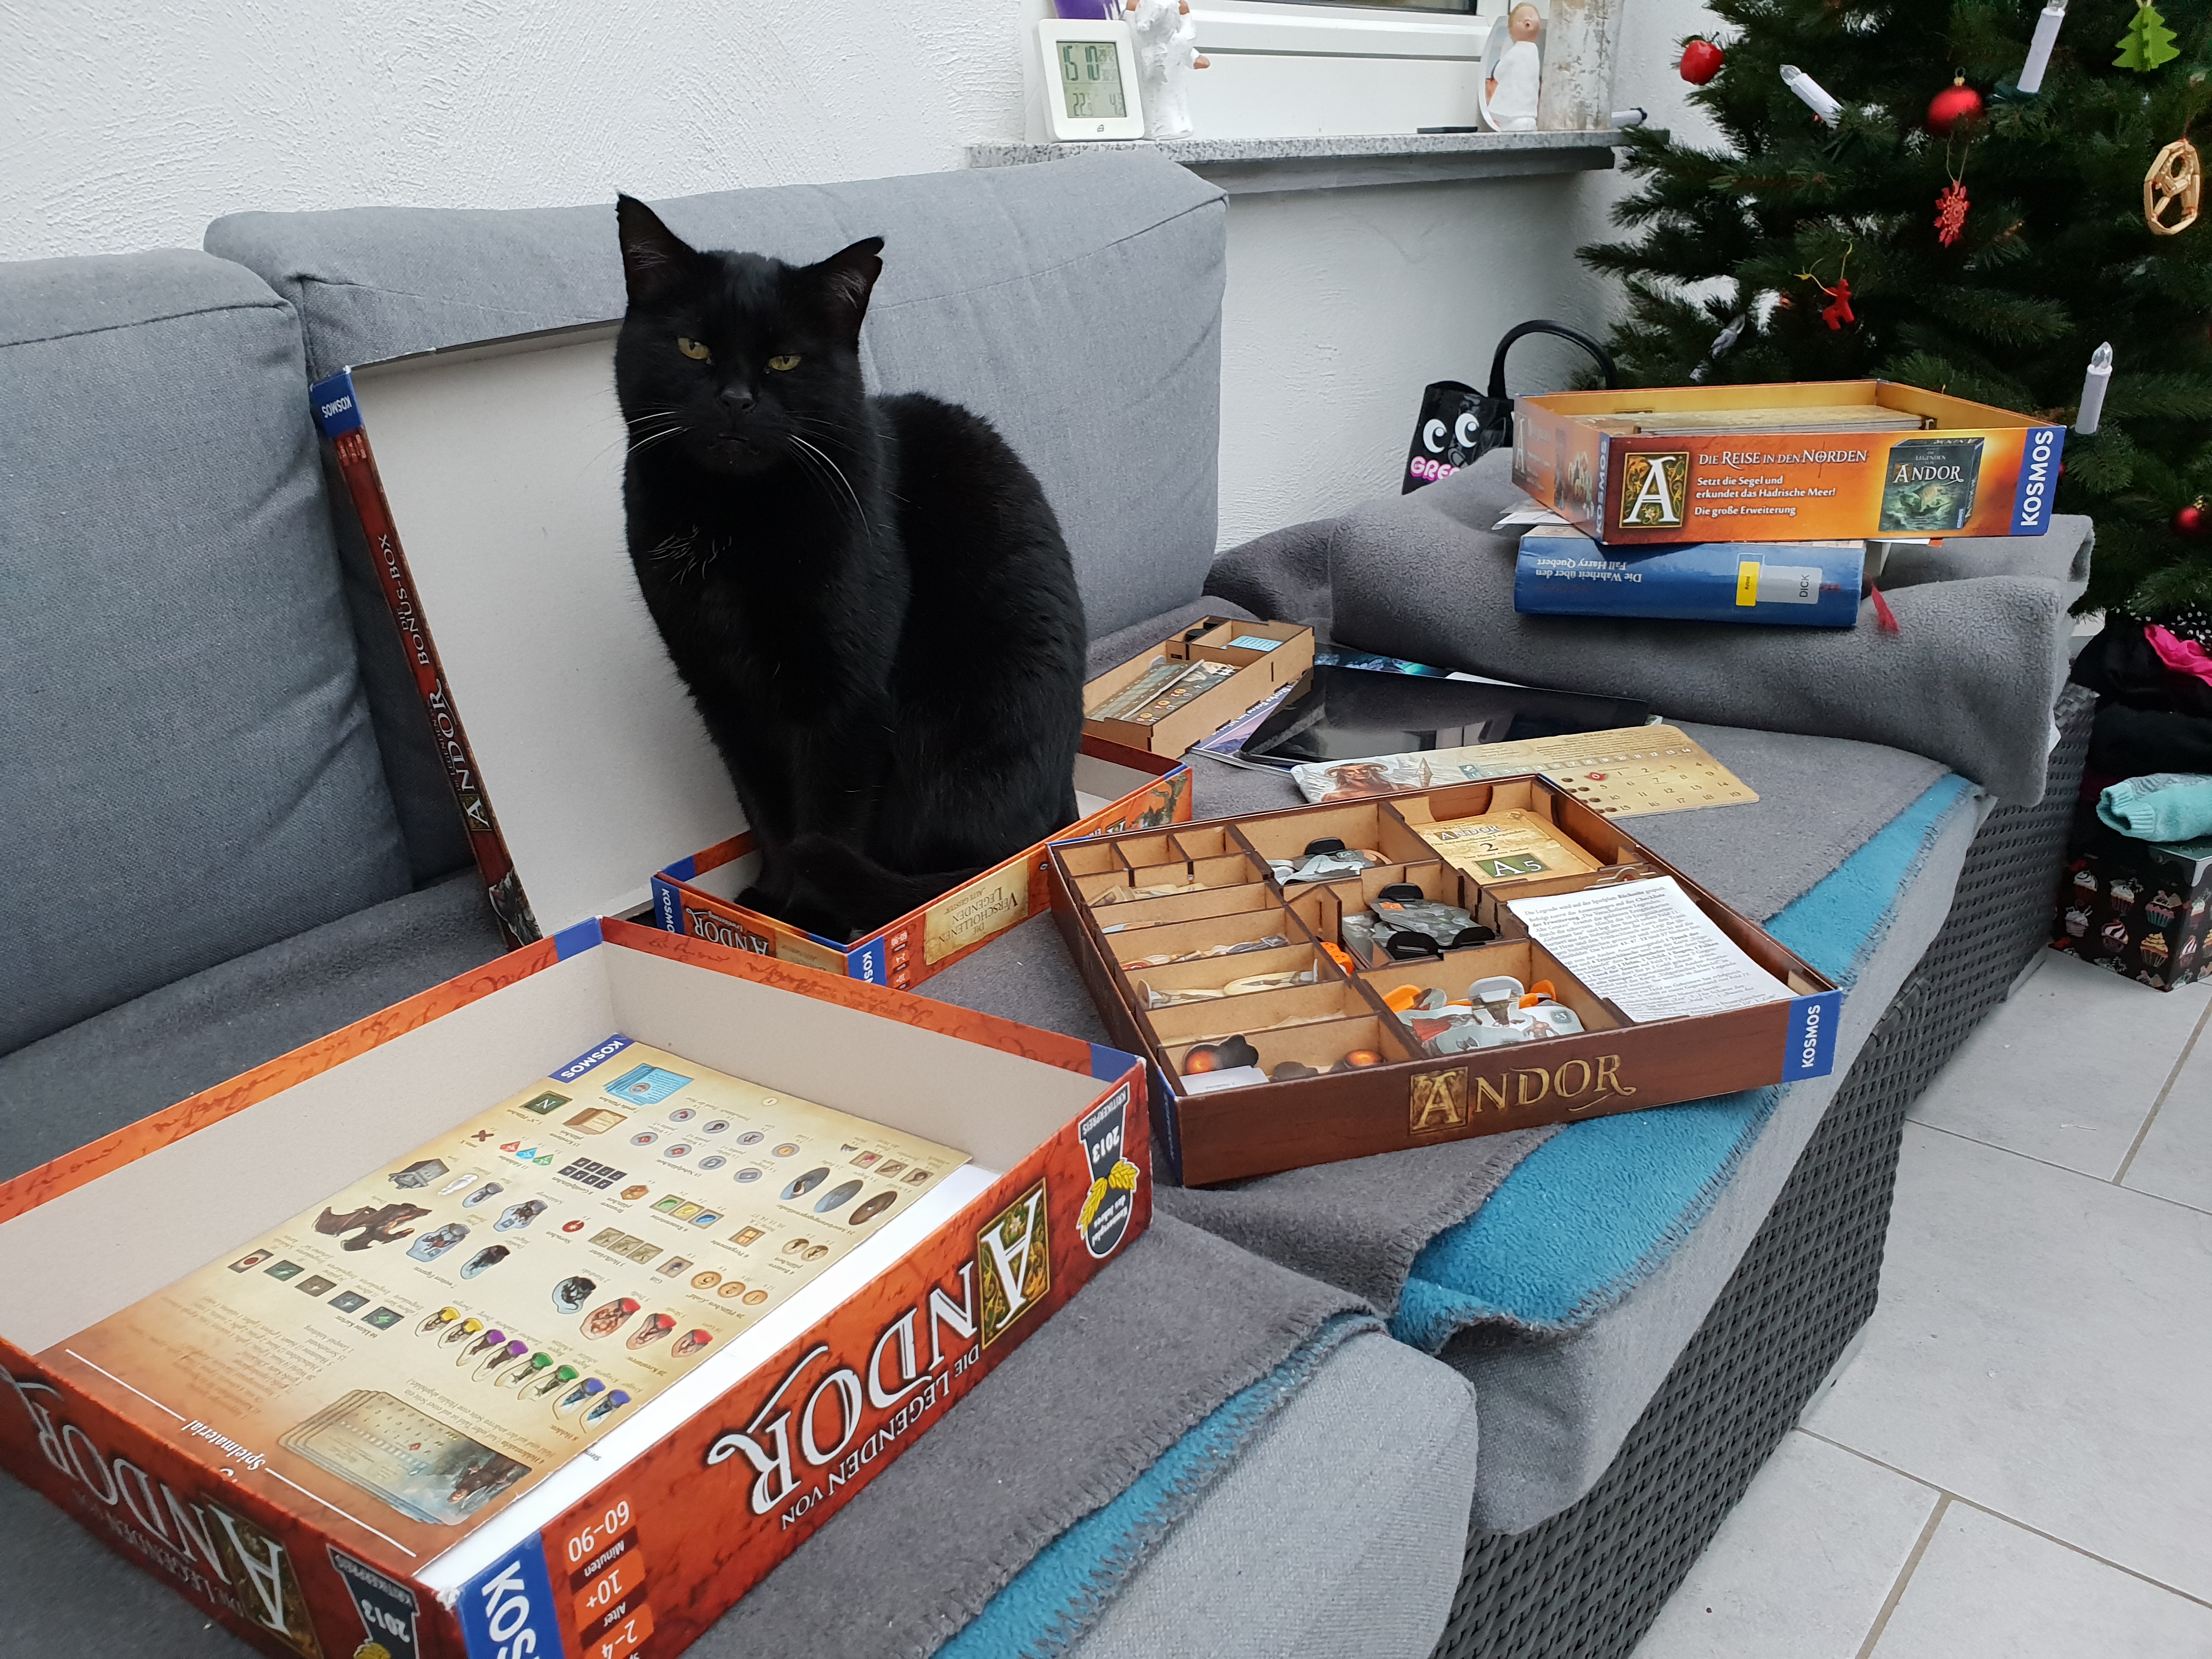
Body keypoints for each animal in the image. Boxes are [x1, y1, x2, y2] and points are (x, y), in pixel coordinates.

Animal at [611, 196, 1087, 940]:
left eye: (784, 360)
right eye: (693, 348)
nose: (736, 399)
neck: (734, 523)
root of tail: (1058, 817)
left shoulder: (843, 699)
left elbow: (828, 817)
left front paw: (814, 924)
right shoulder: (724, 696)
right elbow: (766, 809)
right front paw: (770, 905)